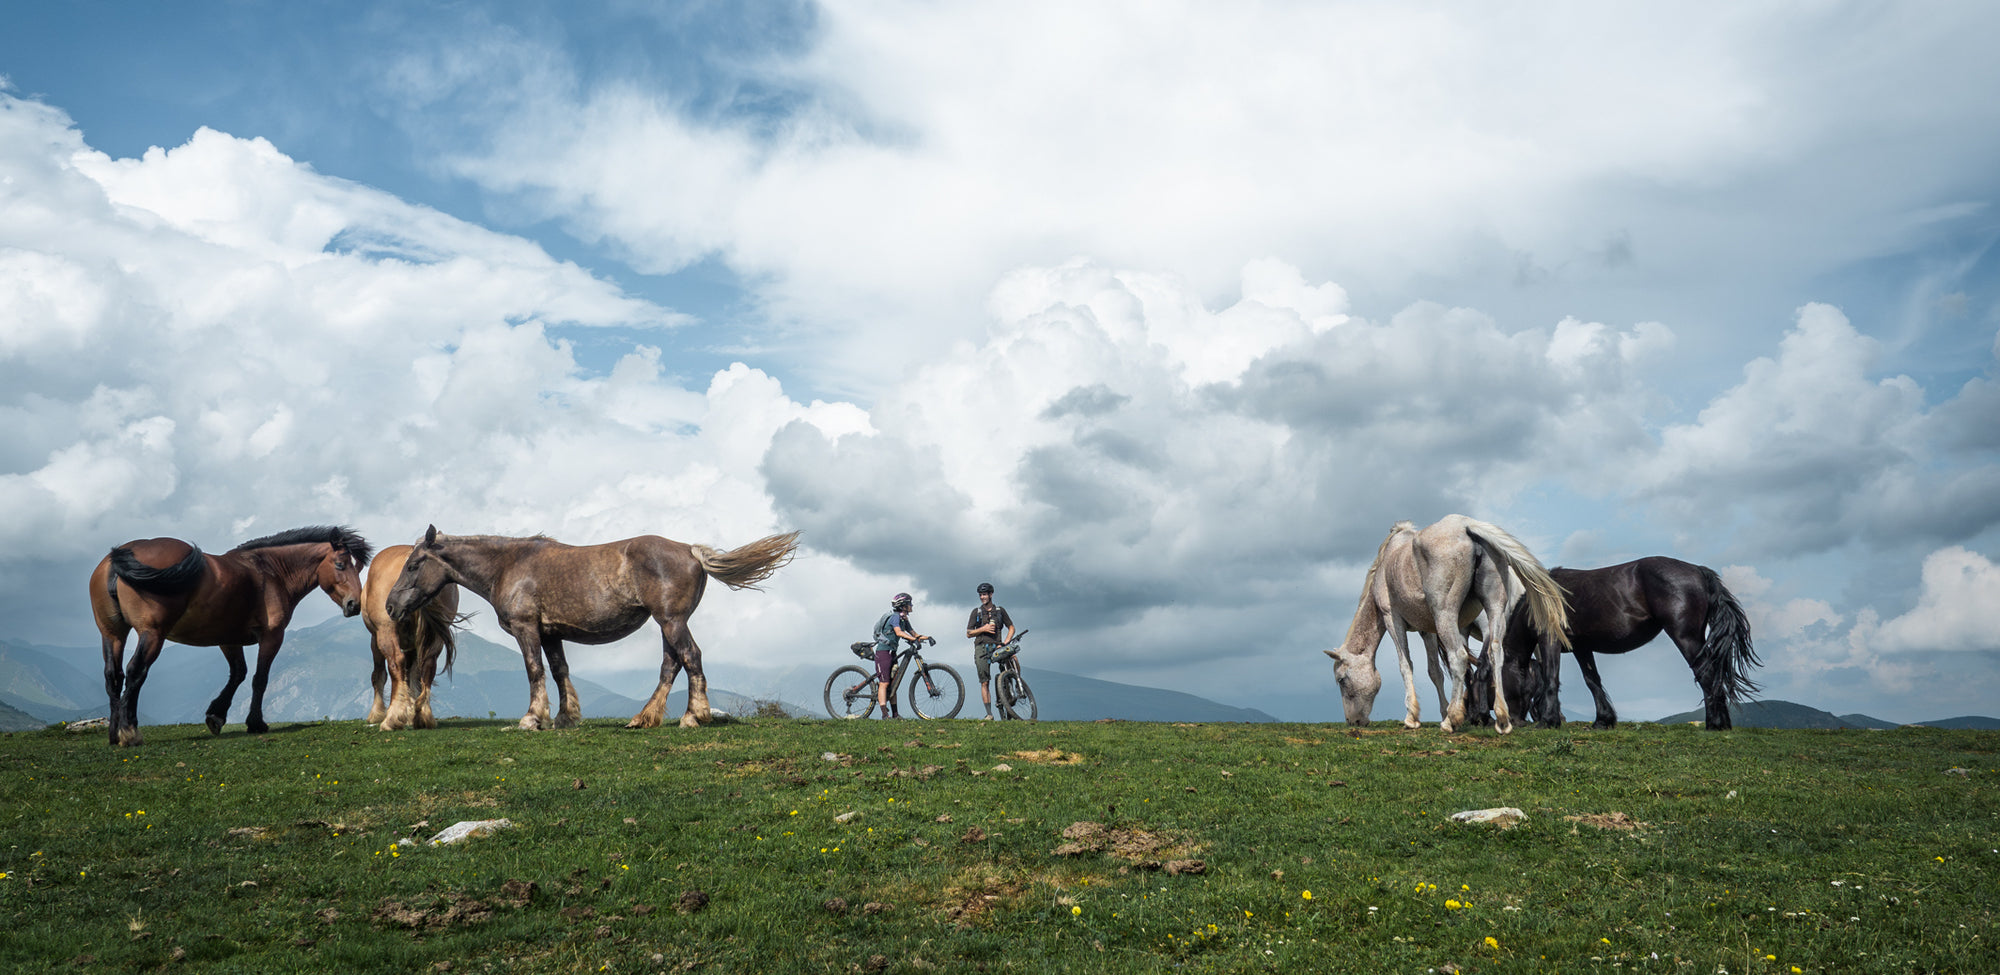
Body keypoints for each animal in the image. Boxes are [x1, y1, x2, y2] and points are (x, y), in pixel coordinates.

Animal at [87, 527, 376, 747]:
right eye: (340, 564)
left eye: (359, 566)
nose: (354, 604)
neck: (270, 571)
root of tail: (117, 558)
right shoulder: (272, 636)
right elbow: (260, 678)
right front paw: (256, 723)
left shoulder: (228, 639)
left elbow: (238, 673)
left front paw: (216, 715)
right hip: (152, 634)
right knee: (136, 671)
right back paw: (129, 732)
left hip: (112, 634)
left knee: (113, 676)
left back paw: (114, 734)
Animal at [360, 543, 464, 727]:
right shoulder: (414, 643)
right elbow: (412, 673)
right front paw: (410, 710)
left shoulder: (375, 638)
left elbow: (379, 674)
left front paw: (377, 713)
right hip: (436, 635)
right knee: (428, 665)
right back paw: (423, 715)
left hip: (386, 630)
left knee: (396, 662)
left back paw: (392, 717)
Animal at [386, 527, 800, 731]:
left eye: (413, 564)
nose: (390, 605)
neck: (509, 565)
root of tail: (690, 550)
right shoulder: (550, 634)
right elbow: (558, 671)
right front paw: (564, 717)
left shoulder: (527, 629)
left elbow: (534, 671)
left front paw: (532, 719)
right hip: (667, 623)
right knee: (671, 665)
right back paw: (643, 718)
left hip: (671, 621)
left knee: (689, 657)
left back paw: (692, 716)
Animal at [1320, 519, 1568, 731]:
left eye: (1341, 680)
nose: (1354, 721)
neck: (1391, 559)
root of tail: (1467, 527)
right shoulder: (1427, 630)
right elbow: (1435, 672)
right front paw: (1443, 710)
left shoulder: (1393, 620)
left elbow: (1406, 665)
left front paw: (1413, 717)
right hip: (1494, 611)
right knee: (1497, 655)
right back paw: (1503, 718)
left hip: (1448, 616)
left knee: (1460, 657)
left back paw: (1454, 721)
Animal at [1464, 559, 1760, 727]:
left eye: (1495, 684)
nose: (1514, 721)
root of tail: (1697, 570)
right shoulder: (1582, 648)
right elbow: (1592, 680)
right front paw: (1603, 719)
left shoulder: (1550, 641)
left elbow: (1551, 678)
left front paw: (1548, 720)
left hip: (1685, 636)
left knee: (1707, 673)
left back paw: (1716, 723)